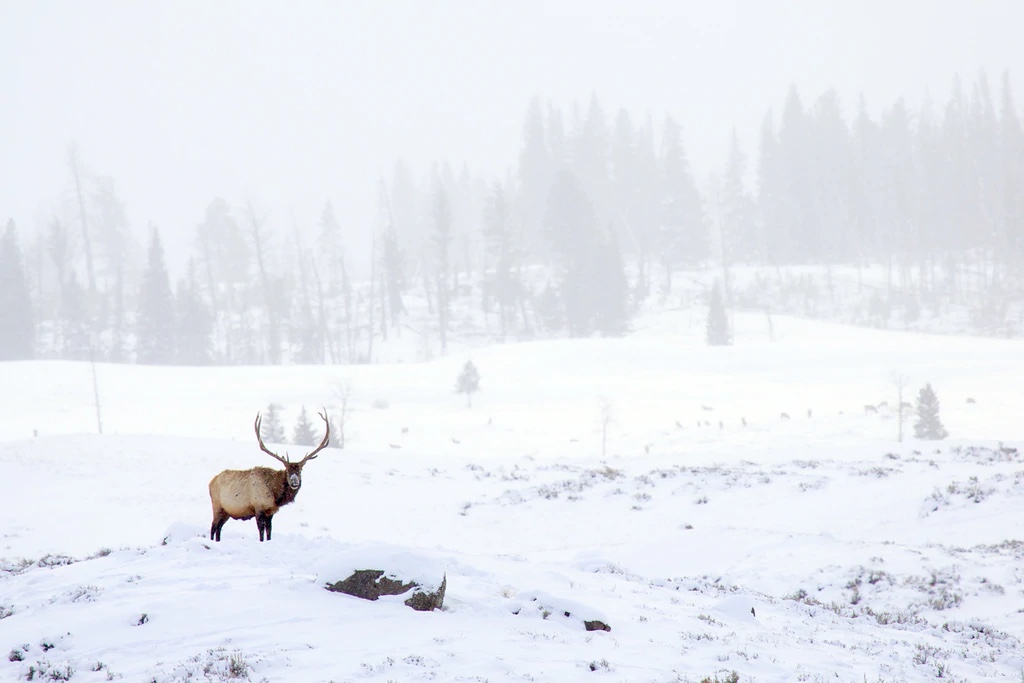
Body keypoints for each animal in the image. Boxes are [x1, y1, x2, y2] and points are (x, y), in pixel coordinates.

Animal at [208, 409, 330, 542]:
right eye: (288, 471)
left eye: (300, 471)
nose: (294, 482)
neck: (275, 495)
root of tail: (210, 482)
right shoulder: (258, 508)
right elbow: (261, 532)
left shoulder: (270, 512)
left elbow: (269, 531)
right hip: (217, 506)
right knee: (213, 527)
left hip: (227, 512)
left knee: (219, 529)